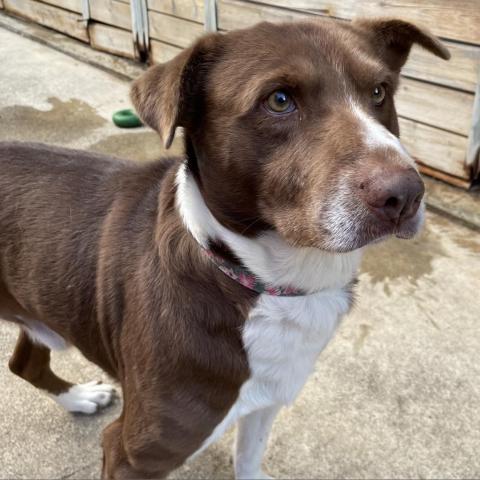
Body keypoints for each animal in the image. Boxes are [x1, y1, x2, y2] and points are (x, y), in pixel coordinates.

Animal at [0, 16, 450, 478]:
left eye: (379, 91)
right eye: (279, 100)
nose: (405, 195)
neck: (261, 281)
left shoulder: (266, 400)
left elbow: (248, 455)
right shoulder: (130, 454)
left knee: (24, 363)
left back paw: (79, 398)